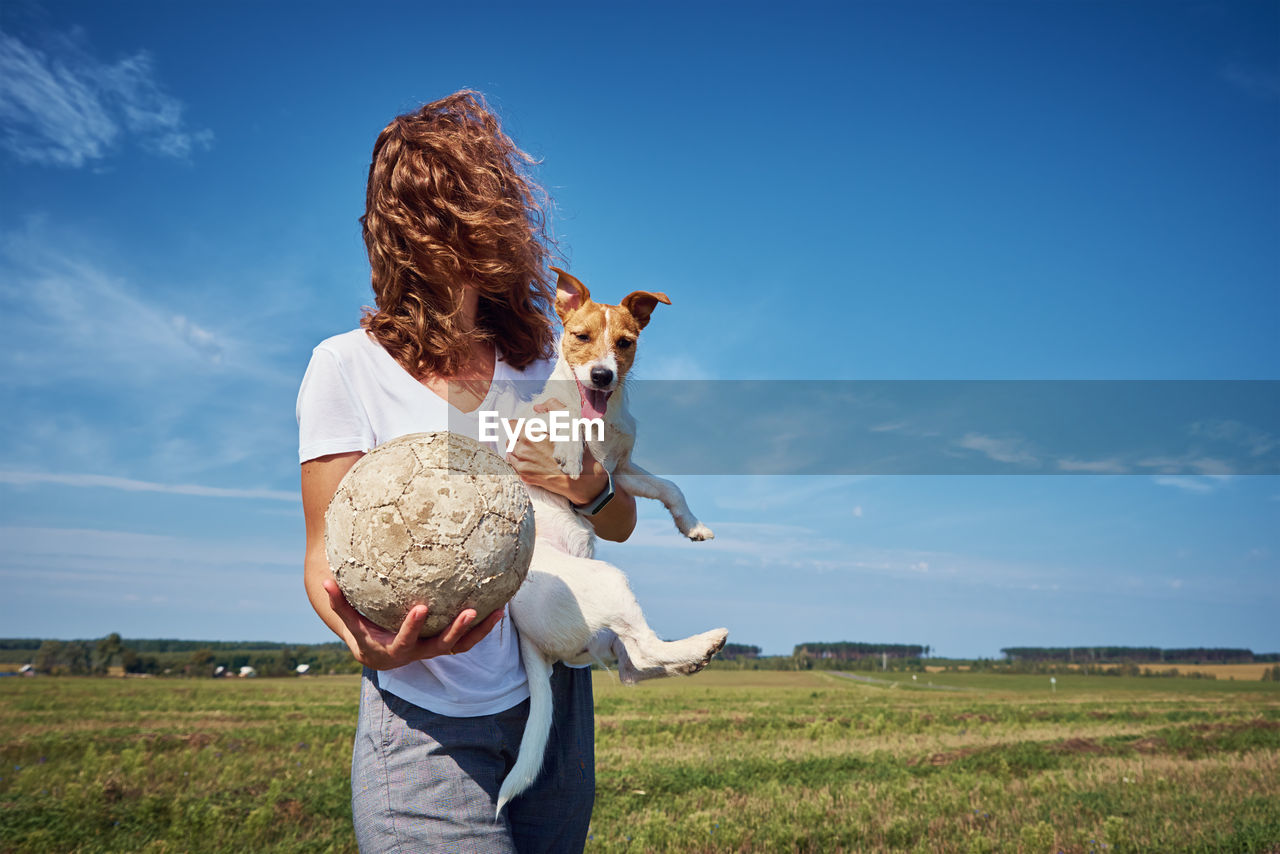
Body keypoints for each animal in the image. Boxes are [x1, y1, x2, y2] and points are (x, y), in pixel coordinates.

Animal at [494, 267, 727, 814]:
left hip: (604, 630)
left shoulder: (621, 473)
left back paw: (695, 656)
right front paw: (570, 450)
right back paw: (705, 643)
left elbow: (670, 487)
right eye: (580, 337)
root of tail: (528, 639)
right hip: (609, 582)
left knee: (634, 665)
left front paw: (693, 525)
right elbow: (561, 421)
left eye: (625, 343)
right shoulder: (530, 424)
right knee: (646, 650)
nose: (602, 376)